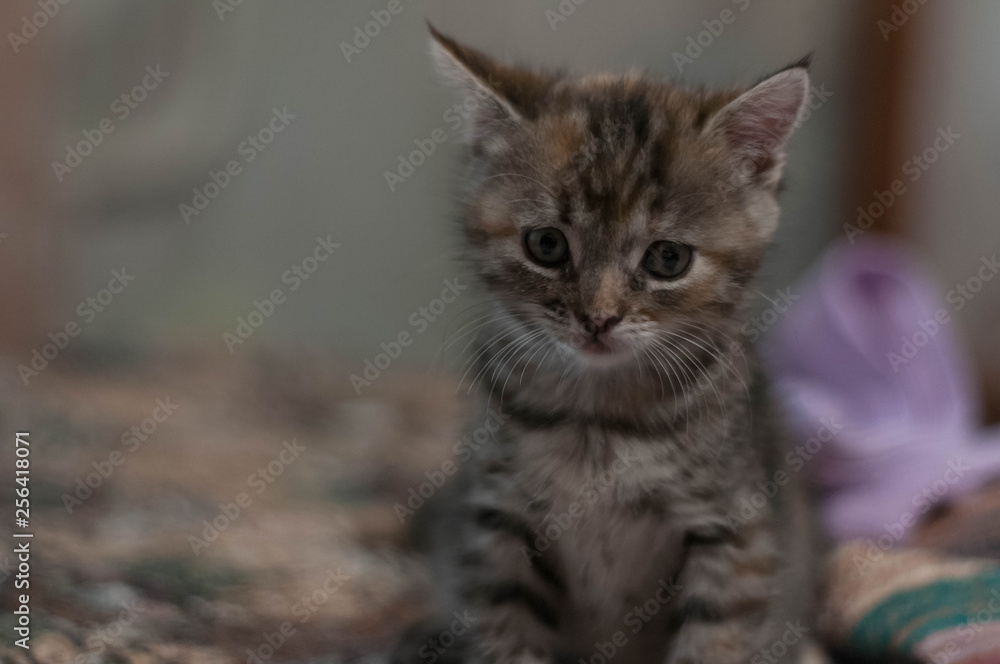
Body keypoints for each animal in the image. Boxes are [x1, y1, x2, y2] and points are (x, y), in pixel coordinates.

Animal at [394, 27, 816, 664]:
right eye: (546, 244)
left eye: (668, 258)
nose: (598, 318)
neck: (599, 420)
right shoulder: (498, 518)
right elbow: (506, 632)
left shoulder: (735, 529)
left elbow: (713, 639)